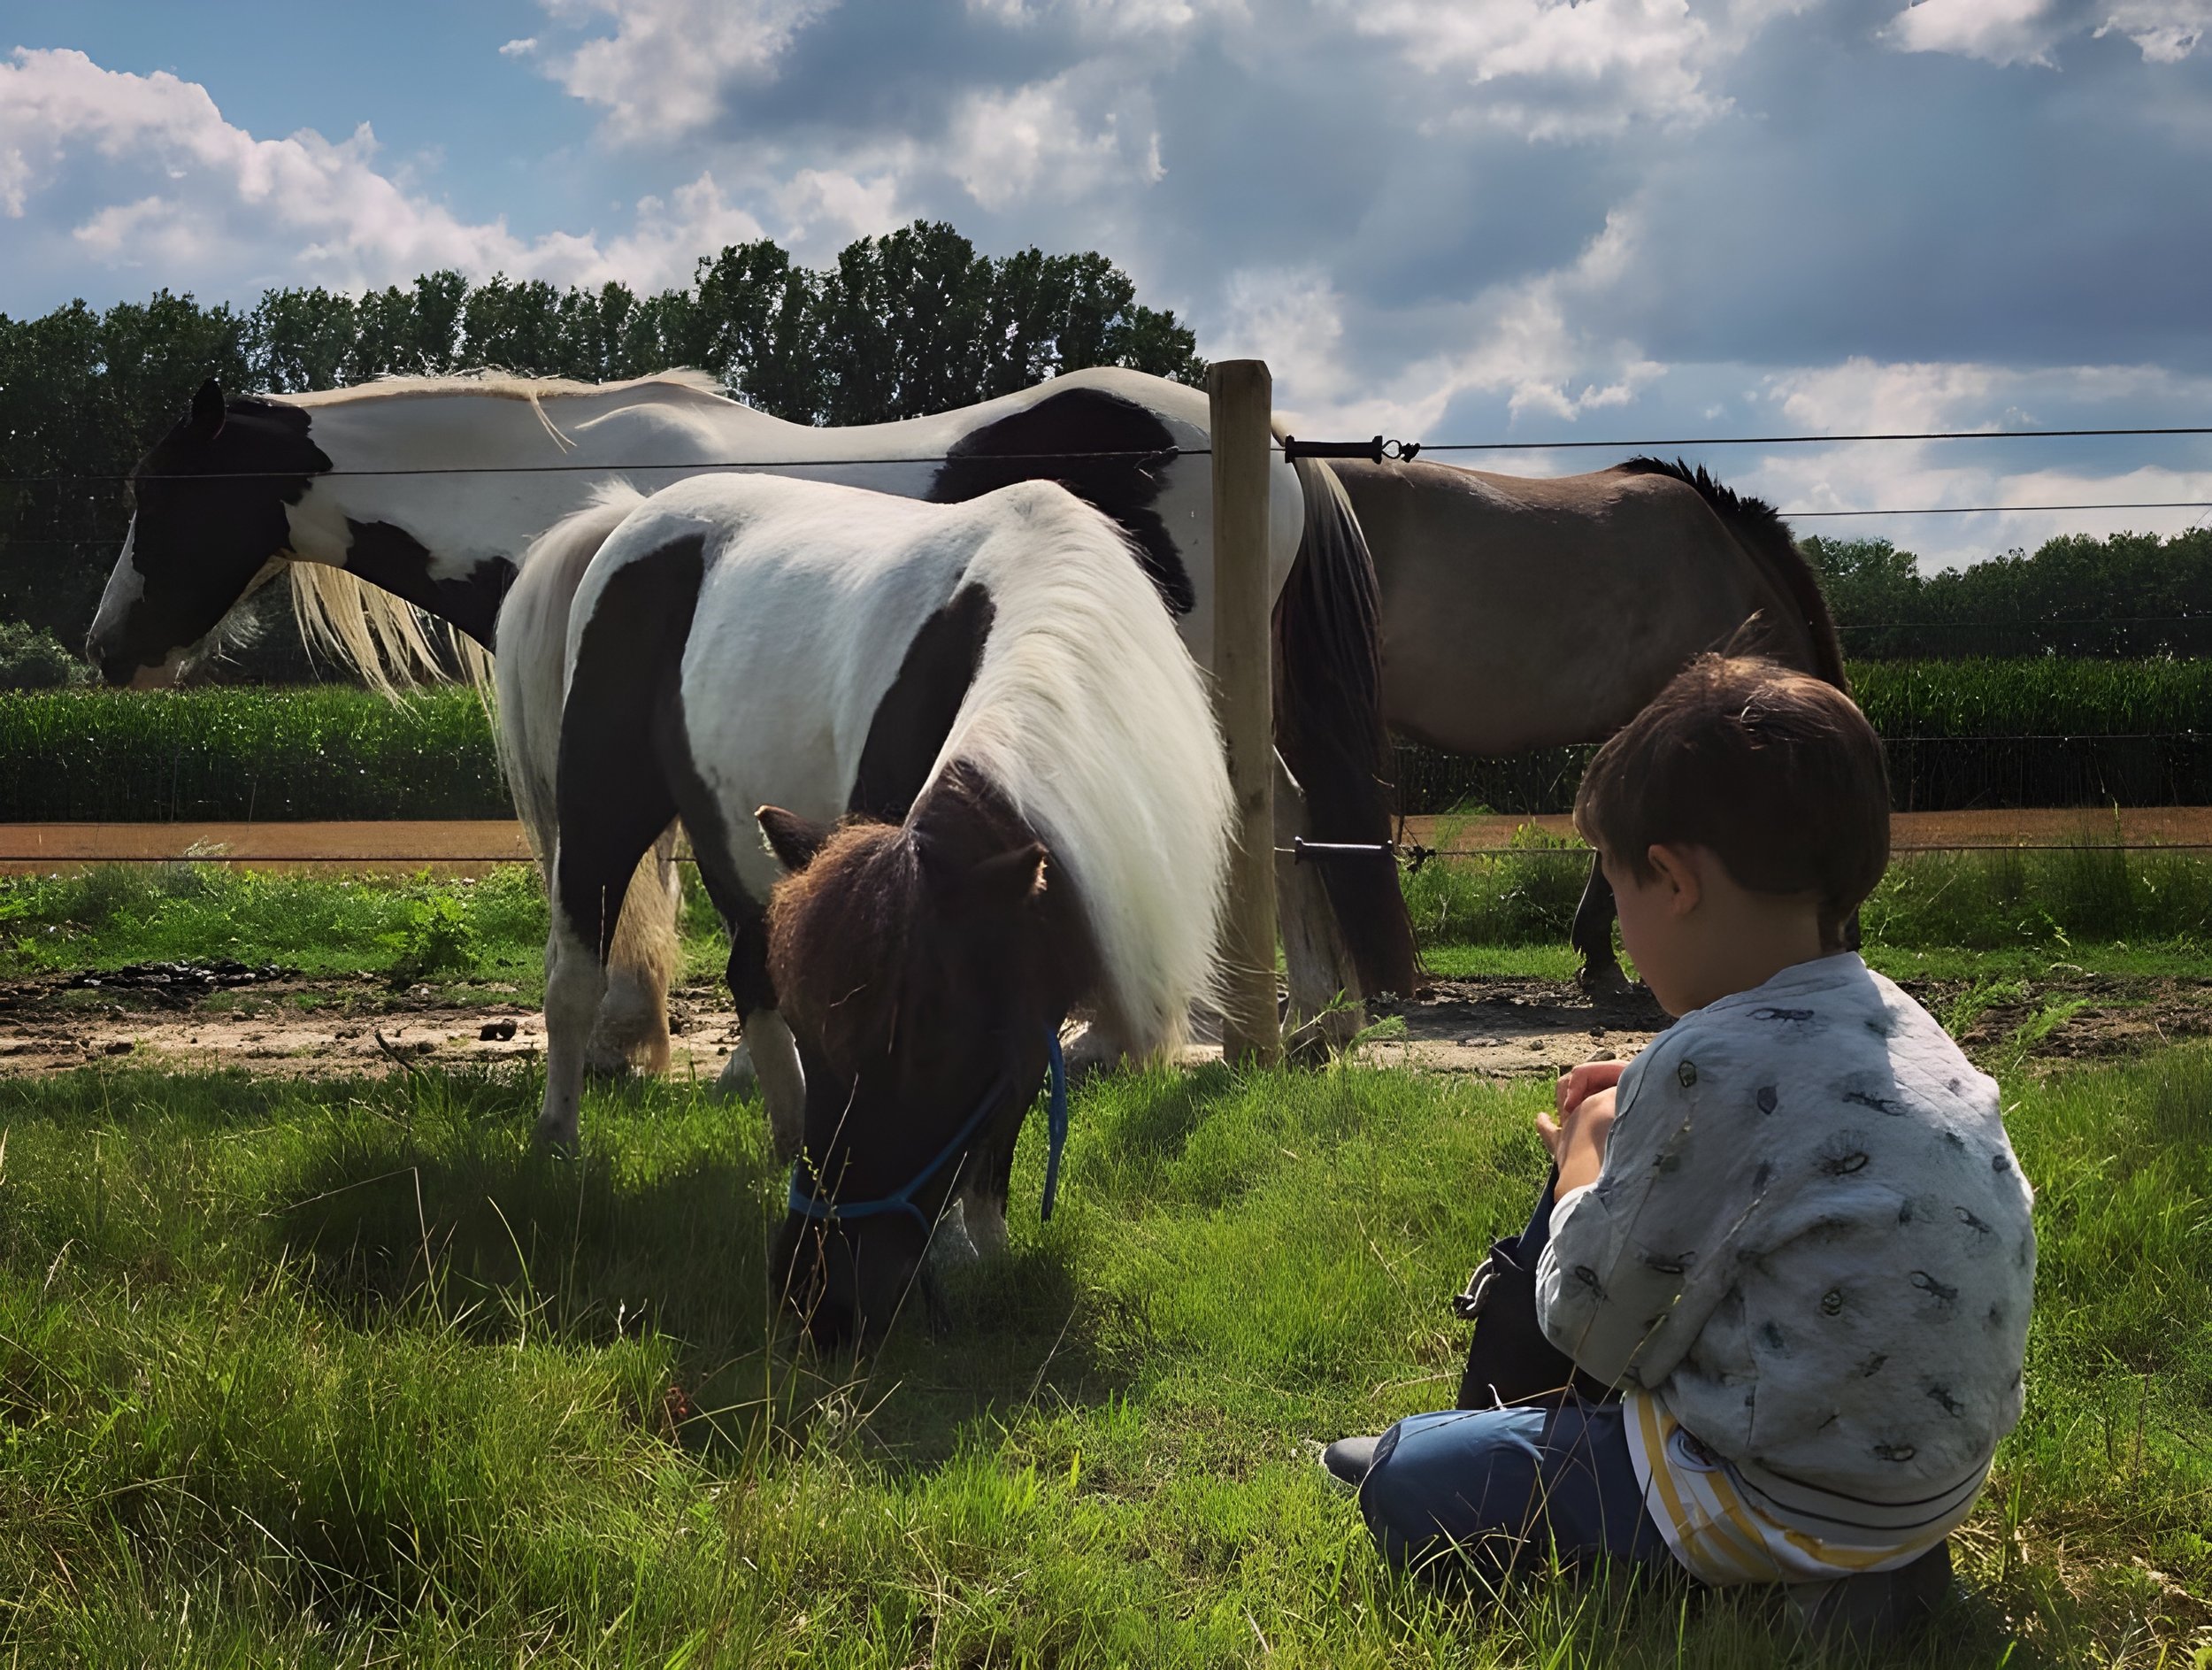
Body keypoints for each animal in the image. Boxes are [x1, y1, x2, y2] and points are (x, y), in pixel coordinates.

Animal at [82, 369, 1409, 1077]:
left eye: (160, 490)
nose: (106, 649)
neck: (567, 486)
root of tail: (1272, 439)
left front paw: (648, 1043)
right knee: (1284, 809)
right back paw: (1310, 1016)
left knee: (1238, 811)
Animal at [531, 472, 1231, 1345]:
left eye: (928, 1047)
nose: (816, 1295)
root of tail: (634, 514)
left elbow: (1011, 1093)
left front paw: (984, 1248)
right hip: (604, 804)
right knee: (575, 979)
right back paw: (559, 1142)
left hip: (734, 837)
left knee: (747, 968)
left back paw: (784, 1131)